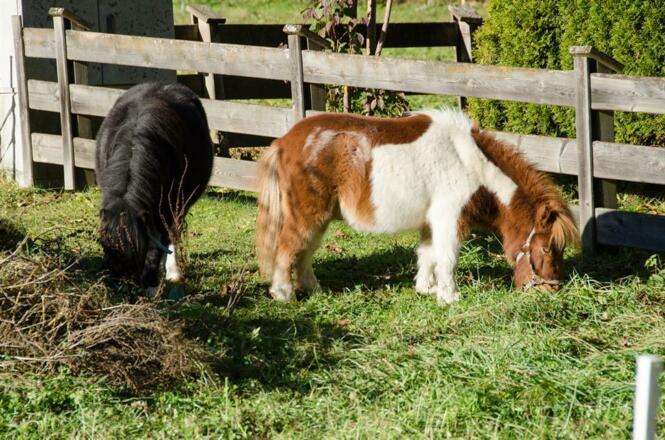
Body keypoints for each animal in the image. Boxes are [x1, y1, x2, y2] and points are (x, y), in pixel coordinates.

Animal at [96, 82, 213, 289]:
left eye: (137, 249)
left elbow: (161, 241)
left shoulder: (164, 209)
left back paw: (173, 272)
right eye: (106, 246)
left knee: (173, 233)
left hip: (179, 206)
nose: (121, 285)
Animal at [256, 109, 579, 305]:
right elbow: (447, 258)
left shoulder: (431, 222)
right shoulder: (449, 219)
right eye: (547, 248)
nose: (552, 289)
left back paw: (313, 289)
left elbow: (427, 255)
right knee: (288, 248)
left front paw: (426, 288)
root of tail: (284, 142)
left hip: (319, 218)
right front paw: (449, 297)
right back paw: (284, 294)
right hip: (306, 215)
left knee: (305, 251)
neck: (470, 163)